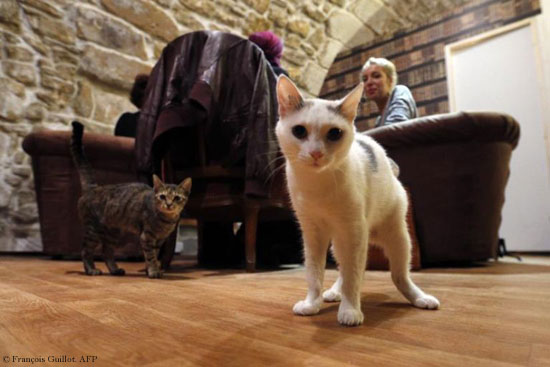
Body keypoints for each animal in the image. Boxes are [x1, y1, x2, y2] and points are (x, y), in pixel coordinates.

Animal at [70, 121, 193, 278]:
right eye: (162, 196)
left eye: (177, 198)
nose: (169, 204)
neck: (166, 221)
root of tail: (93, 188)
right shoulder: (147, 237)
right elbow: (151, 256)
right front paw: (153, 271)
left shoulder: (159, 240)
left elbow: (154, 256)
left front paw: (151, 269)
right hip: (93, 230)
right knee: (85, 251)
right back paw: (91, 269)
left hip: (113, 233)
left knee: (106, 252)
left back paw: (115, 270)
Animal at [278, 75, 442, 328]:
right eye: (299, 131)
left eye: (334, 133)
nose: (316, 153)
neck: (318, 184)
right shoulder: (313, 234)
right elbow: (315, 274)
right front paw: (312, 303)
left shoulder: (353, 231)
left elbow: (353, 276)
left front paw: (350, 310)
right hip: (338, 242)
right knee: (344, 269)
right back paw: (334, 292)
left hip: (397, 238)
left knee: (398, 275)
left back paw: (419, 298)